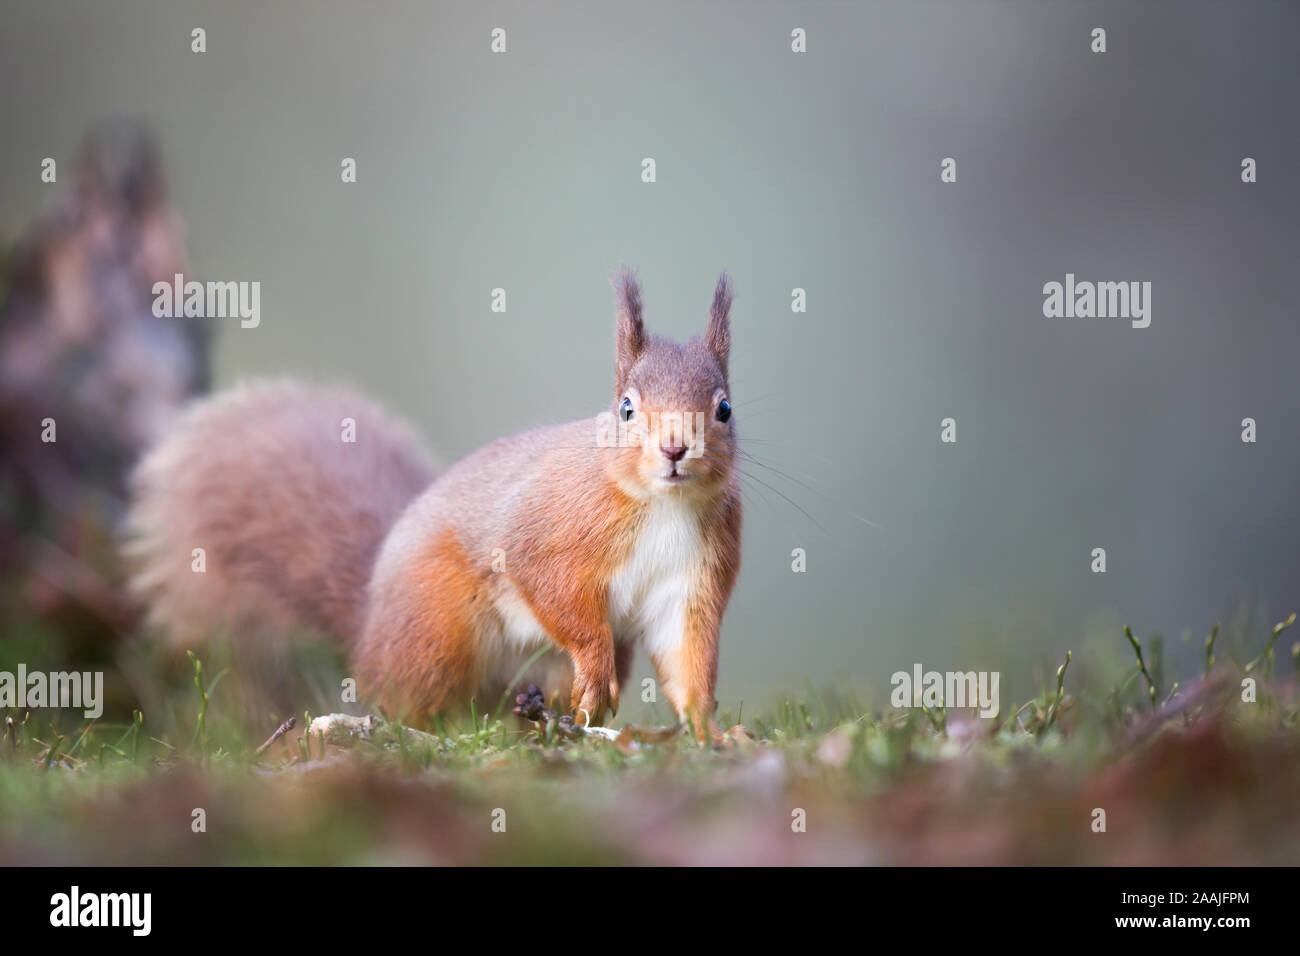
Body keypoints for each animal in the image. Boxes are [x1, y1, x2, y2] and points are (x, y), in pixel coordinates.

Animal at [131, 273, 748, 743]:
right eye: (625, 408)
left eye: (724, 409)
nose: (675, 448)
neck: (663, 506)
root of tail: (369, 622)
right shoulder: (546, 531)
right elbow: (554, 591)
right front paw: (595, 670)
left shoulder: (691, 581)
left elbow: (688, 659)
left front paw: (713, 733)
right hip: (436, 626)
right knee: (403, 695)